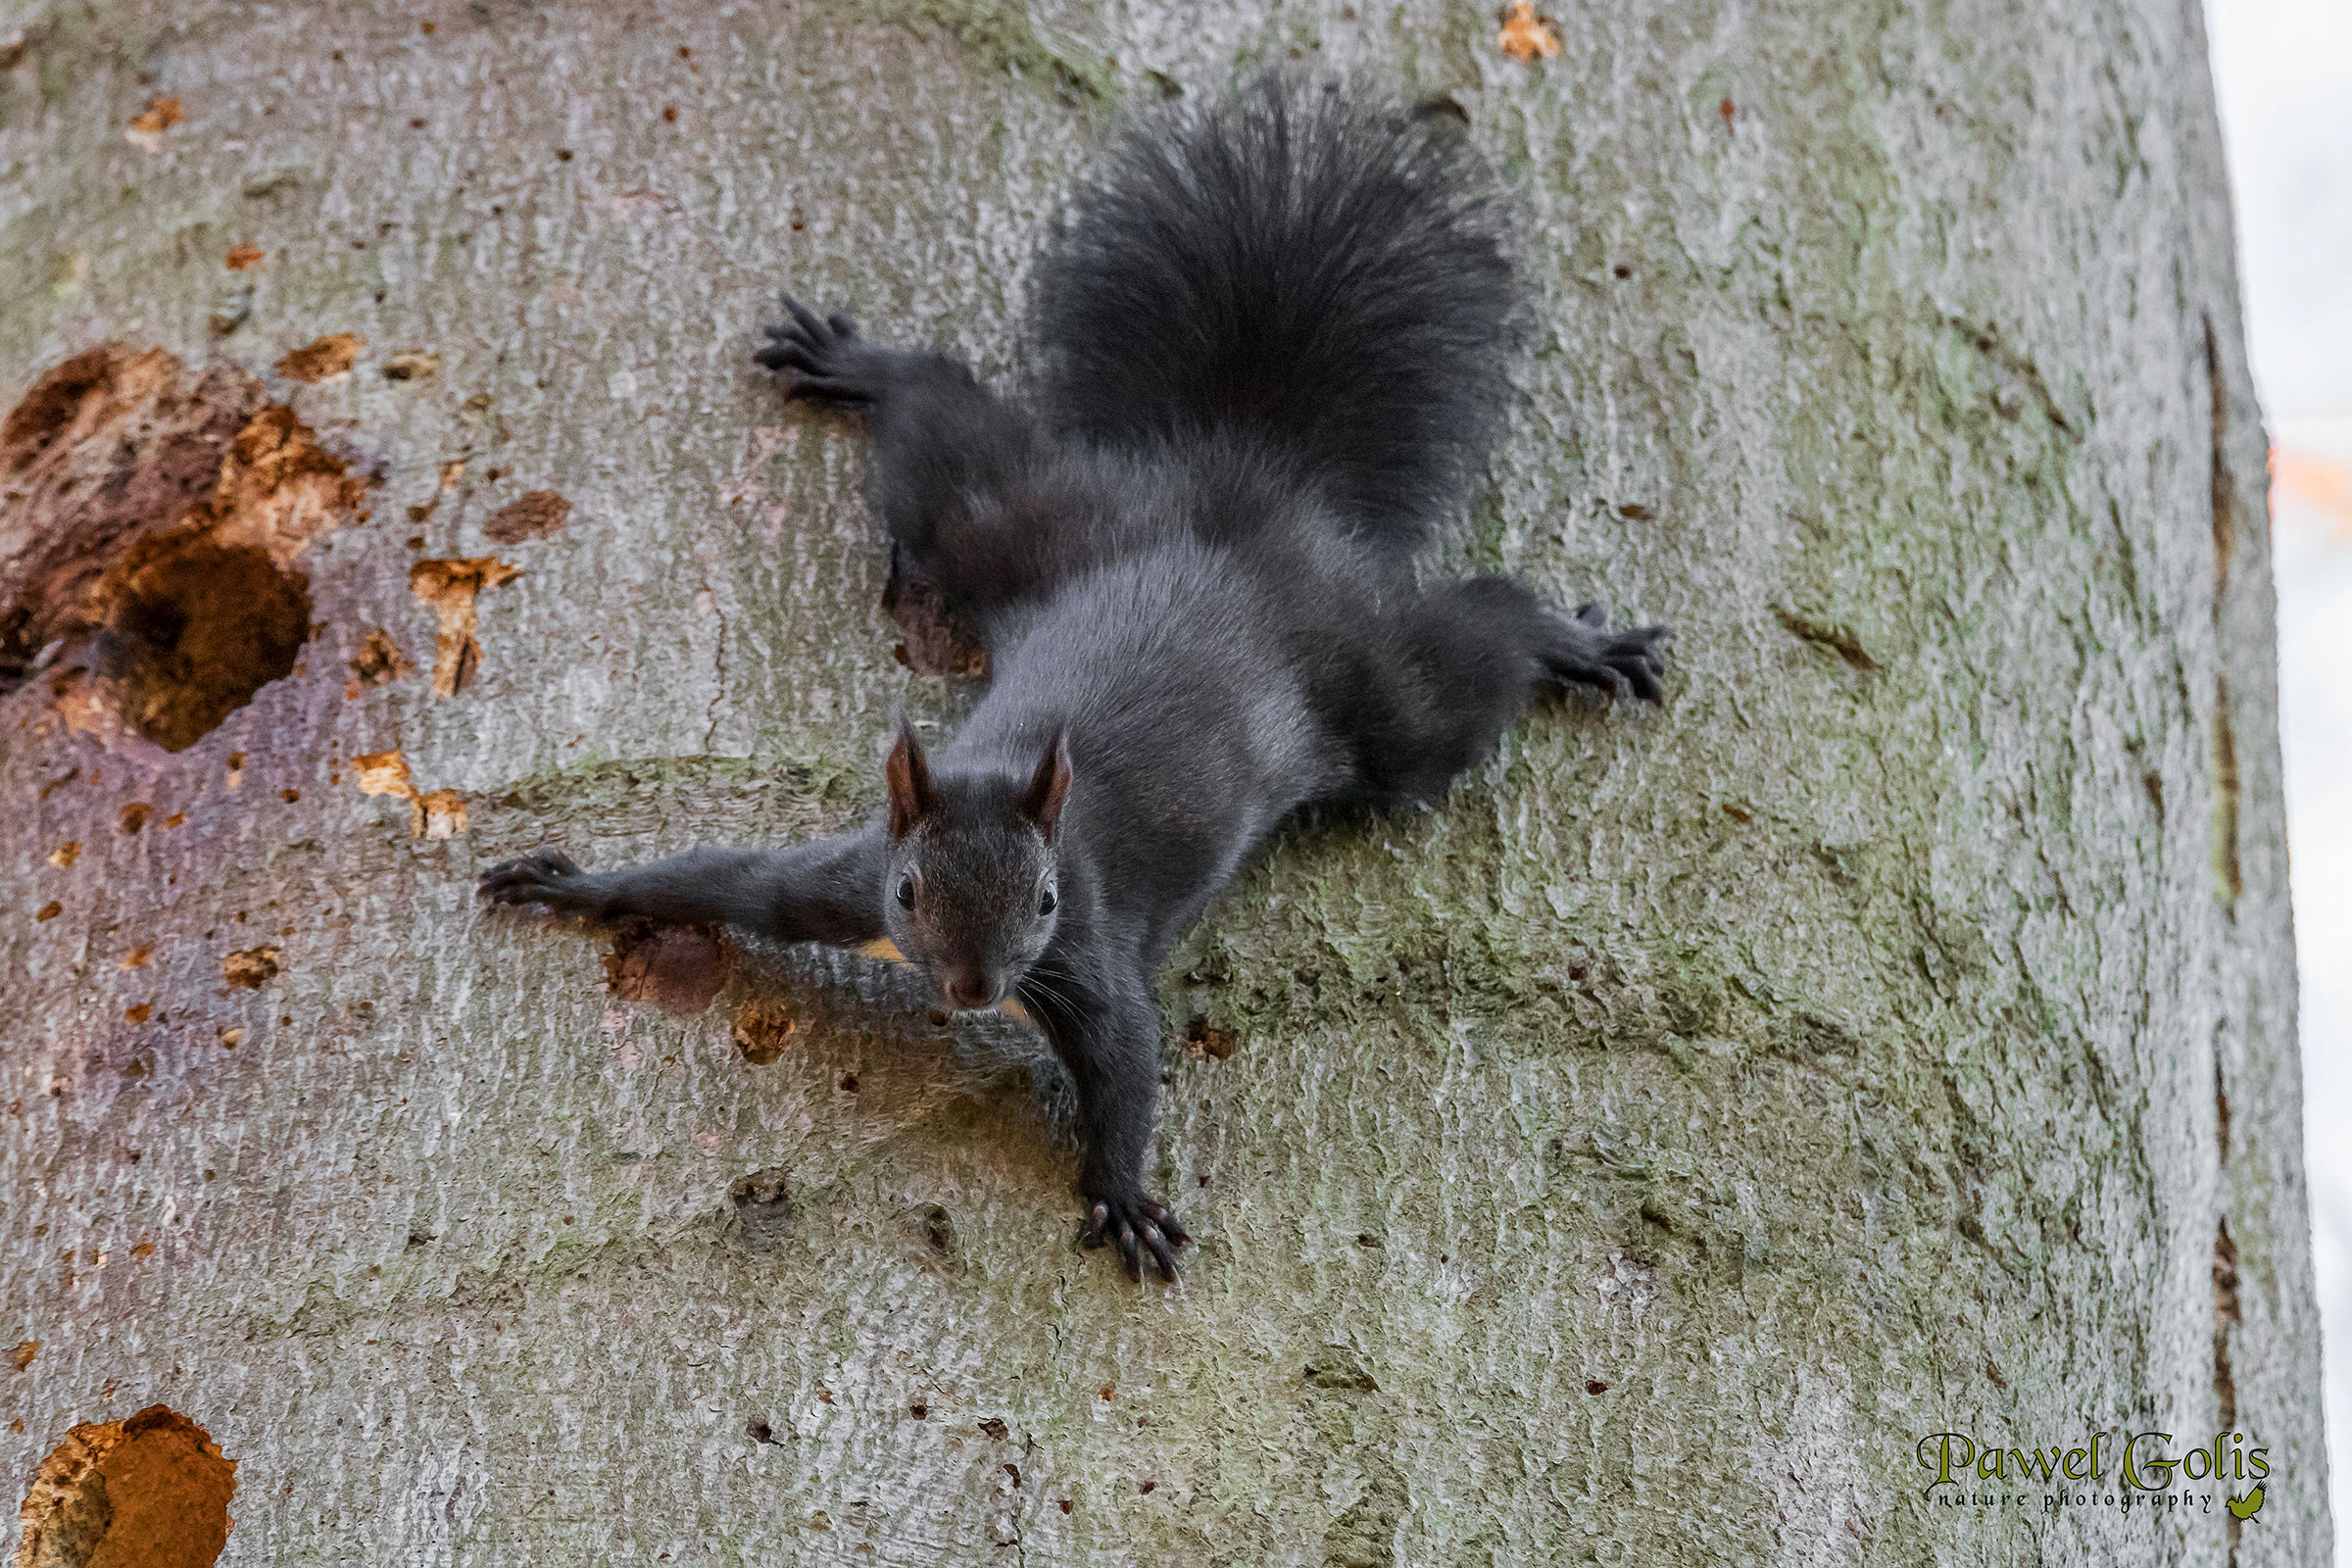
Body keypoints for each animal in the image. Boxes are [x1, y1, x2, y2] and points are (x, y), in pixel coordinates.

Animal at [478, 74, 1669, 1284]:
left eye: (1045, 901)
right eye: (910, 894)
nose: (976, 992)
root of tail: (1241, 489)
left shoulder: (1092, 955)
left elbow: (1131, 1060)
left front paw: (1122, 1193)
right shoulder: (839, 878)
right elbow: (721, 878)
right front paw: (575, 885)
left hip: (1374, 689)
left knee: (1466, 666)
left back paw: (1573, 645)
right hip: (1018, 526)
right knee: (945, 431)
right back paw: (864, 366)